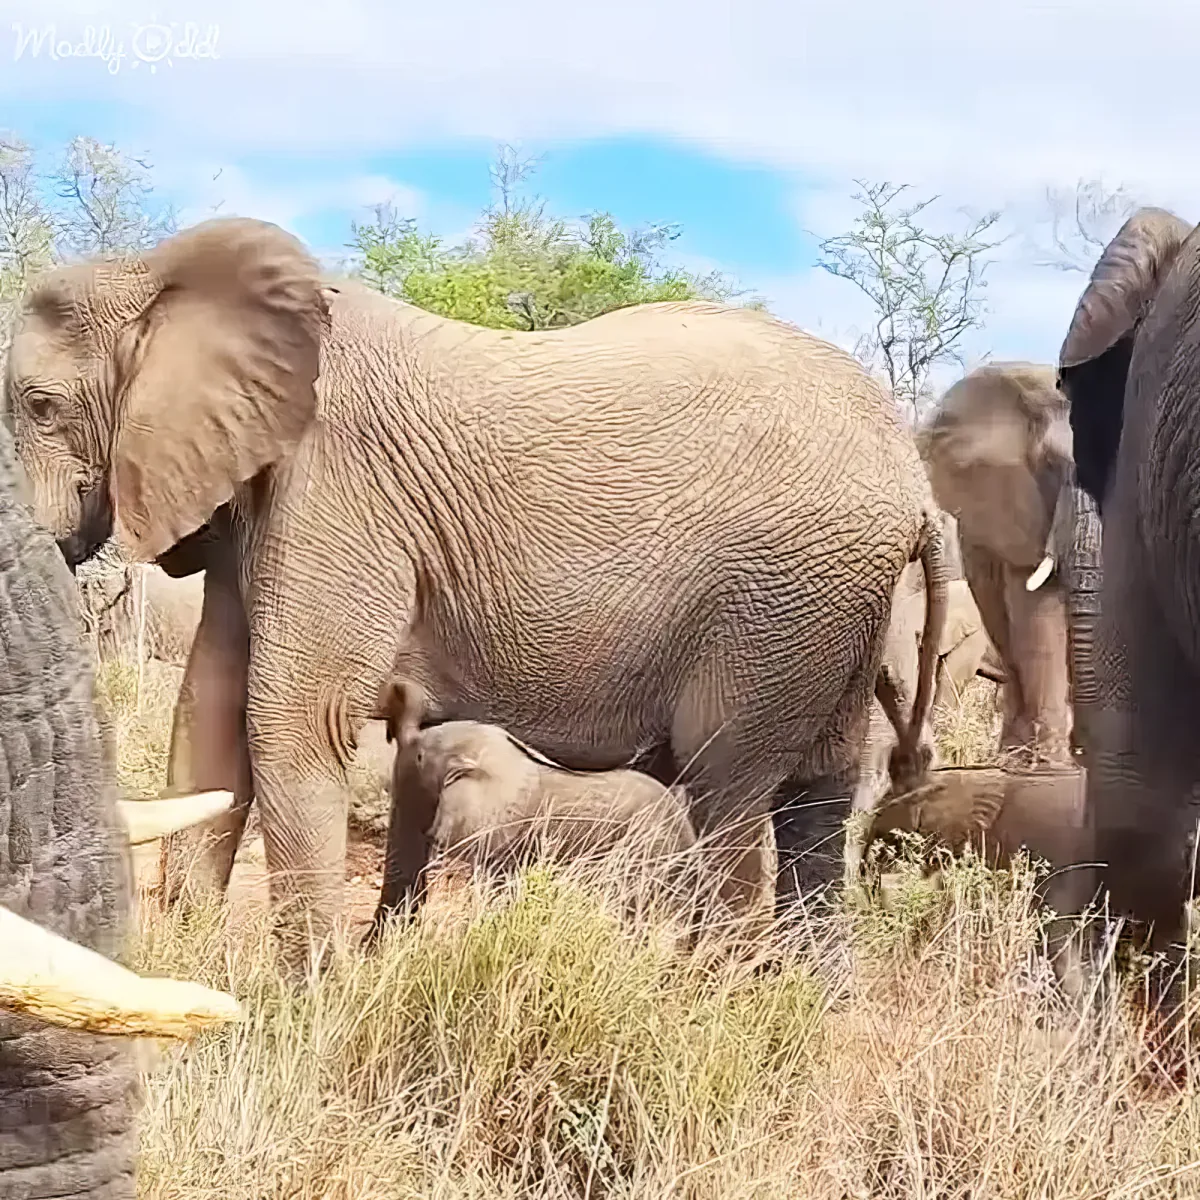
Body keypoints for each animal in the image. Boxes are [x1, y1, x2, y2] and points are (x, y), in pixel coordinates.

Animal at [4, 215, 949, 960]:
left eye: (40, 406)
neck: (155, 269)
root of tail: (914, 485)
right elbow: (211, 704)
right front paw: (197, 972)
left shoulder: (335, 487)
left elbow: (290, 717)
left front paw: (309, 1001)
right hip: (834, 603)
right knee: (818, 805)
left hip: (781, 599)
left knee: (729, 787)